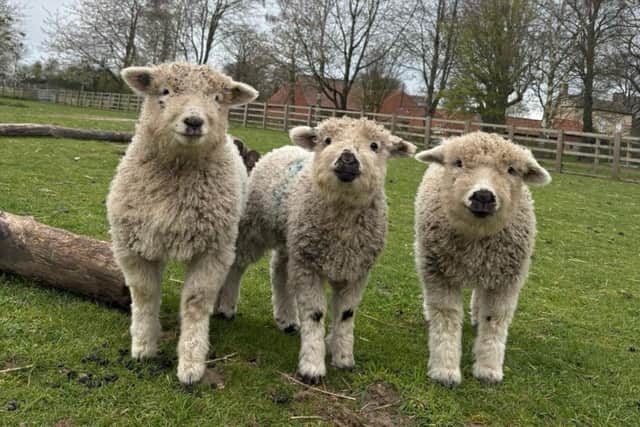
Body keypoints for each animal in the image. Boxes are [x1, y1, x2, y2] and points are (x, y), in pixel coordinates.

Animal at [106, 63, 258, 385]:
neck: (178, 172)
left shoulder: (211, 251)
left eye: (217, 98)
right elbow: (145, 295)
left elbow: (195, 302)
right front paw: (143, 346)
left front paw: (191, 364)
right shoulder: (133, 246)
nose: (194, 121)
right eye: (165, 91)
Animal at [215, 117, 416, 384]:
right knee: (237, 265)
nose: (347, 158)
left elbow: (346, 315)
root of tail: (282, 148)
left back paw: (287, 319)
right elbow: (315, 314)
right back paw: (226, 306)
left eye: (375, 145)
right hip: (256, 227)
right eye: (327, 140)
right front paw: (312, 366)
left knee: (280, 270)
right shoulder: (309, 266)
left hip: (292, 238)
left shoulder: (357, 271)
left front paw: (343, 357)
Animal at [413, 131, 551, 386]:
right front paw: (445, 369)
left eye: (511, 170)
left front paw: (488, 368)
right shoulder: (439, 273)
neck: (477, 237)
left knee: (480, 292)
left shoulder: (506, 279)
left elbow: (495, 319)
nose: (484, 196)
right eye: (457, 163)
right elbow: (446, 316)